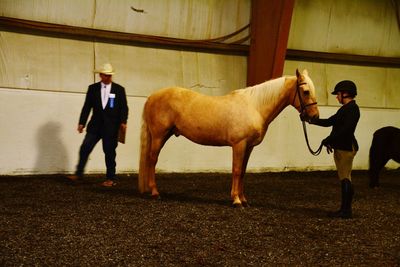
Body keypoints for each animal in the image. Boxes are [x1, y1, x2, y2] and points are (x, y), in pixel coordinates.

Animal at [139, 69, 320, 207]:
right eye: (306, 92)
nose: (315, 117)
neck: (254, 106)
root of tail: (152, 97)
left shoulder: (249, 147)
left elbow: (243, 172)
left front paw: (244, 199)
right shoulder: (239, 145)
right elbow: (237, 170)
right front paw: (236, 200)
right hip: (159, 136)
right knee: (152, 160)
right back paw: (155, 193)